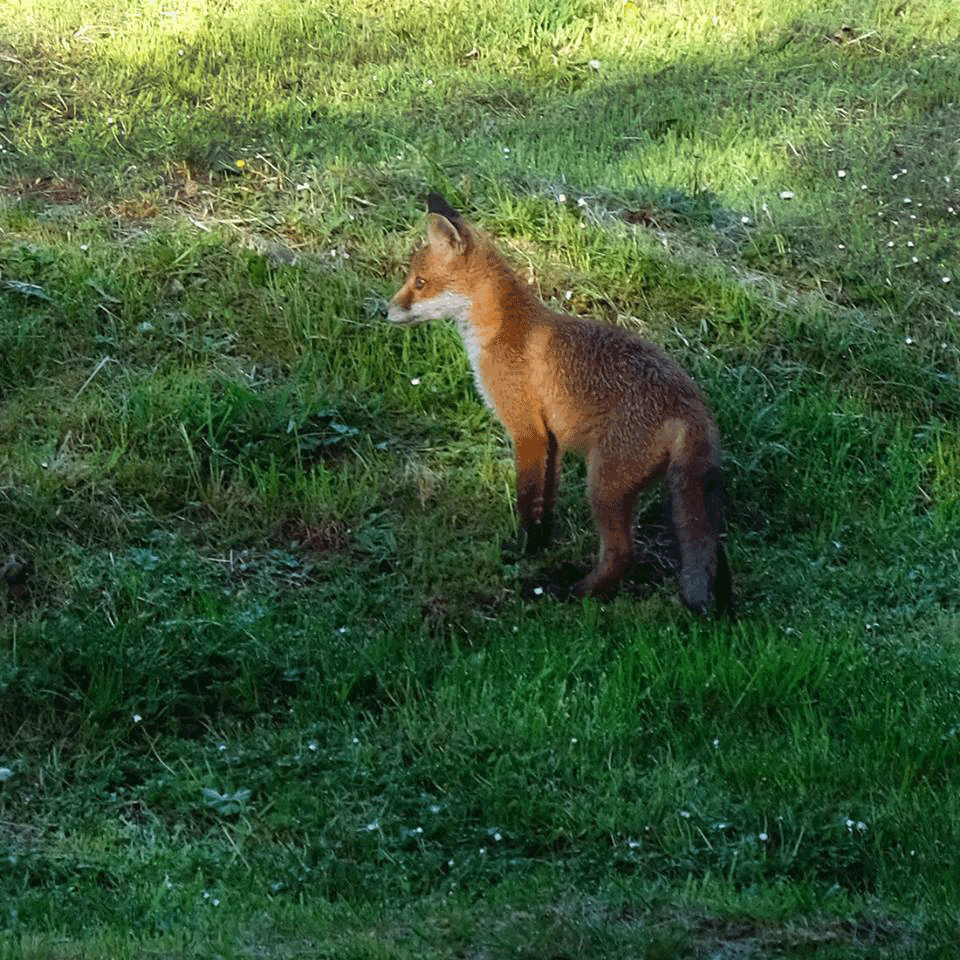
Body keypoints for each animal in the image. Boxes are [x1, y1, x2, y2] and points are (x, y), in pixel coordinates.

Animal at [386, 194, 732, 616]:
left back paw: (576, 593)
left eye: (419, 283)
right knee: (712, 548)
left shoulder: (527, 431)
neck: (501, 332)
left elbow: (525, 500)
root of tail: (690, 401)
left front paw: (523, 552)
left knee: (622, 554)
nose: (384, 310)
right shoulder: (549, 440)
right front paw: (540, 547)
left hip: (602, 486)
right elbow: (545, 505)